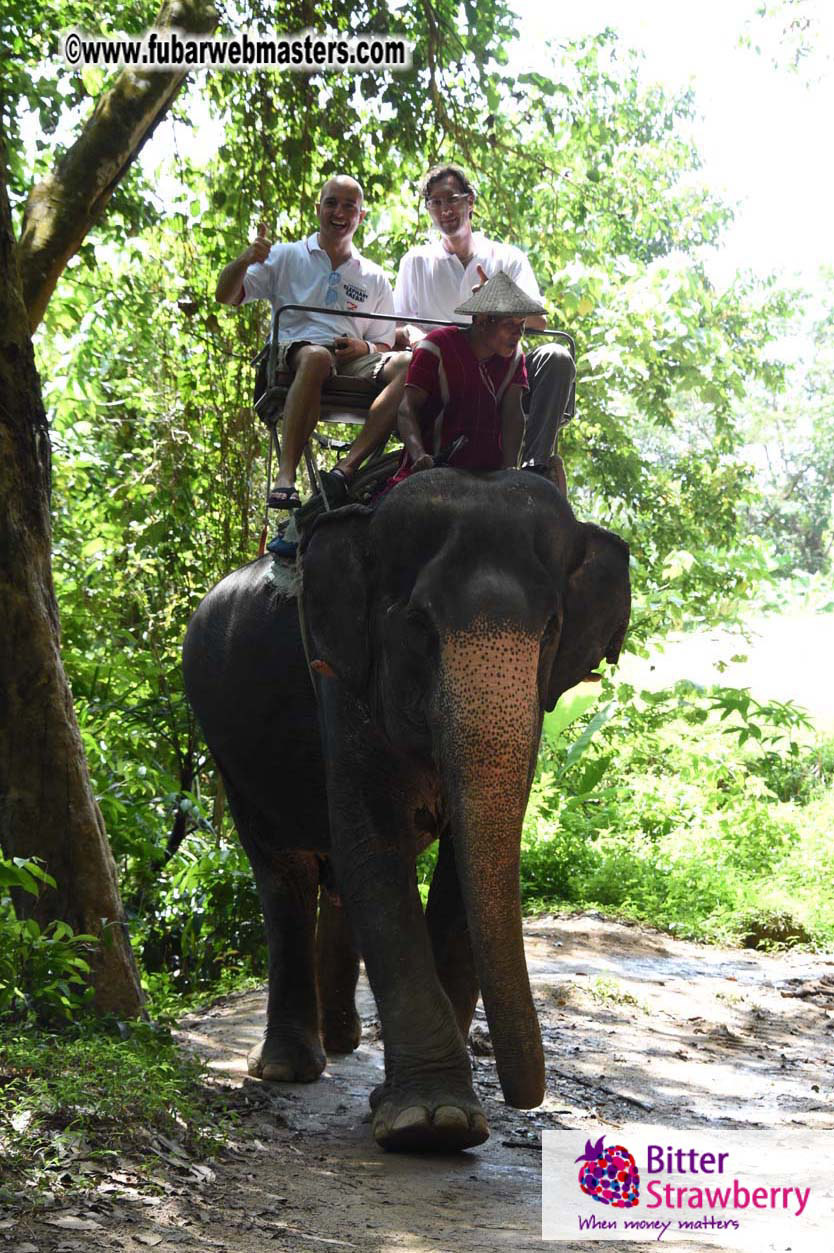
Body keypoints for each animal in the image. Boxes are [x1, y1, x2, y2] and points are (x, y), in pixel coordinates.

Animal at [182, 468, 630, 1153]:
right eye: (418, 625)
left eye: (552, 629)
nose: (526, 1098)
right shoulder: (334, 671)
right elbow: (375, 846)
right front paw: (430, 1124)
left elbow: (459, 869)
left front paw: (418, 1109)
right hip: (224, 740)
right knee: (286, 874)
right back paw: (288, 1068)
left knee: (330, 880)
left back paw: (344, 1042)